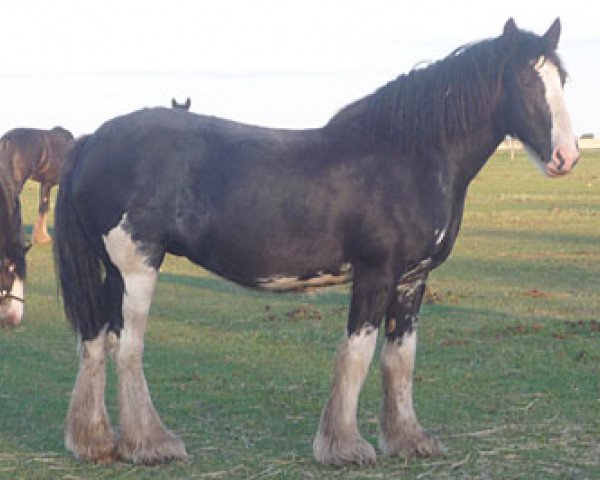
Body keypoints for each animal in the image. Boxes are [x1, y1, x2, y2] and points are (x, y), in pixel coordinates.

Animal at [55, 20, 576, 466]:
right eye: (525, 80)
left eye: (563, 79)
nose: (566, 157)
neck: (407, 157)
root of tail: (92, 140)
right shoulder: (376, 273)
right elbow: (357, 354)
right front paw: (344, 447)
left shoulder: (412, 279)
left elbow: (400, 358)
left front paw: (408, 440)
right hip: (137, 266)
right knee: (128, 346)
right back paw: (151, 444)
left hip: (113, 272)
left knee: (95, 340)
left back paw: (96, 442)